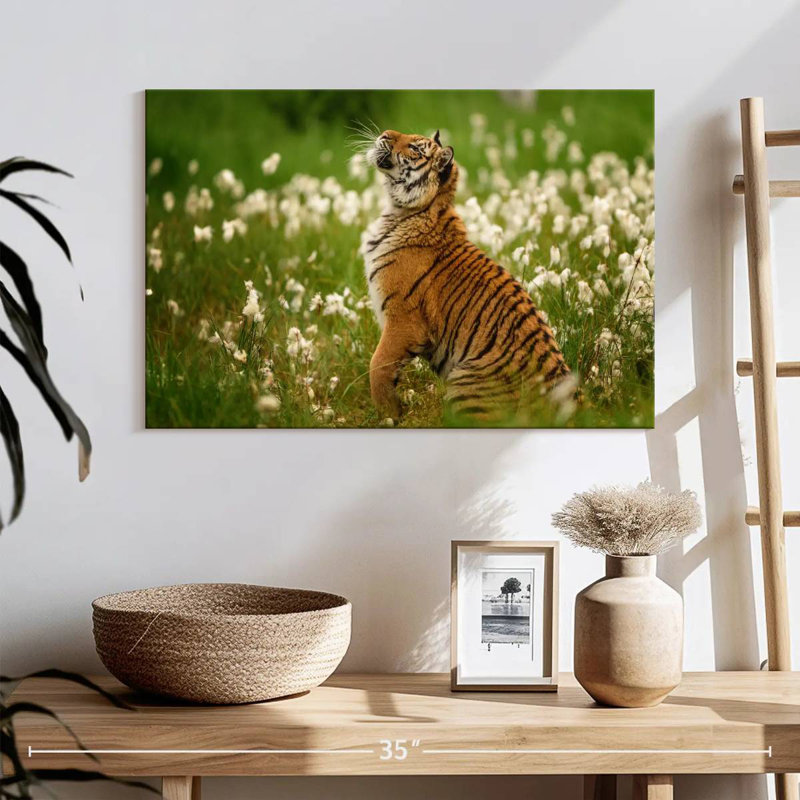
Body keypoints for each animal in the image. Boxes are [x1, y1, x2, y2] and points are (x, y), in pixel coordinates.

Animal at [363, 128, 574, 423]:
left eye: (415, 148)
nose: (384, 134)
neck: (404, 211)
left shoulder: (403, 321)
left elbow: (378, 365)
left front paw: (388, 415)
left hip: (463, 382)